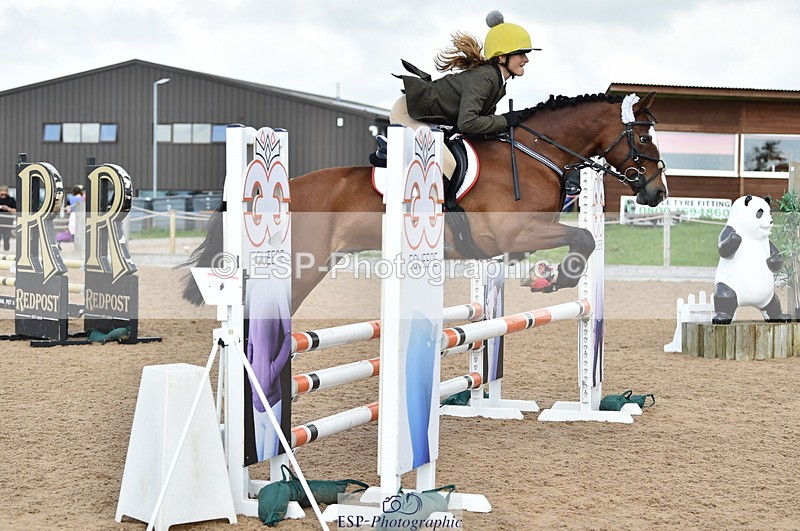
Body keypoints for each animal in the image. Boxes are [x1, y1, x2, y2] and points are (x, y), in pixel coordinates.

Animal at [182, 92, 668, 314]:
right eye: (644, 138)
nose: (657, 192)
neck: (534, 153)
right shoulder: (515, 233)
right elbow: (584, 238)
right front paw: (557, 281)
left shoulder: (515, 241)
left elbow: (577, 241)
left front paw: (546, 276)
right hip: (300, 269)